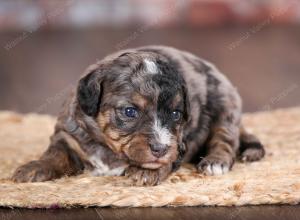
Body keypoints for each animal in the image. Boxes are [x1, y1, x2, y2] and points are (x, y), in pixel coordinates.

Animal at [11, 46, 264, 186]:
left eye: (176, 114)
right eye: (130, 112)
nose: (161, 148)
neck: (109, 149)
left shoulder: (180, 144)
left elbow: (166, 160)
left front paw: (145, 171)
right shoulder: (67, 136)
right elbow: (55, 154)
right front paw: (33, 167)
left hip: (226, 109)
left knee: (225, 141)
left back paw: (215, 162)